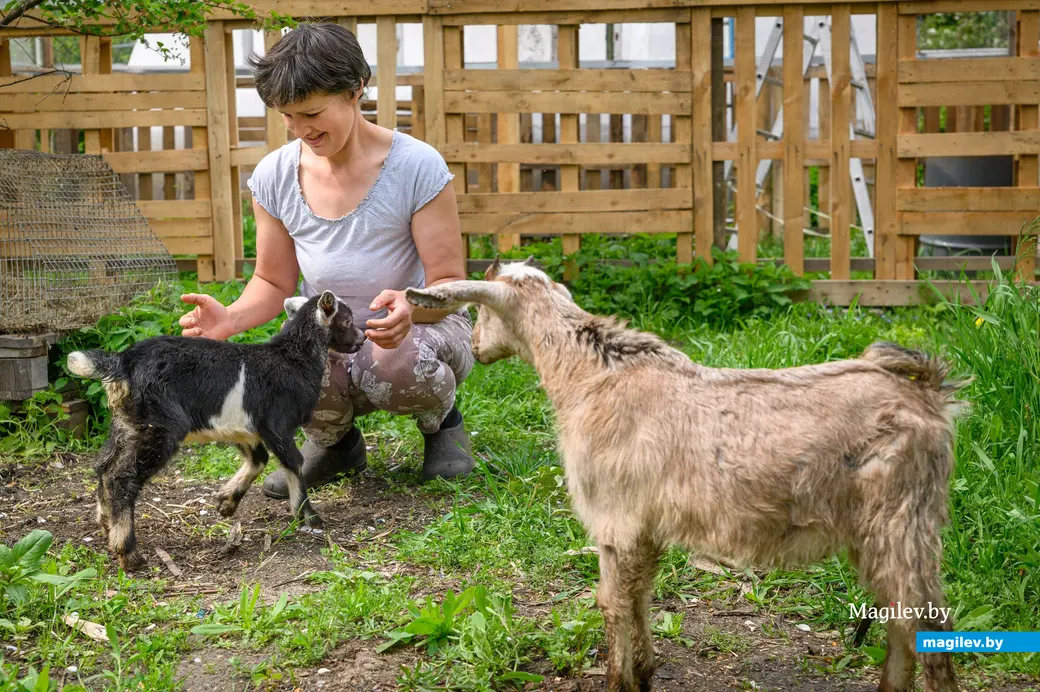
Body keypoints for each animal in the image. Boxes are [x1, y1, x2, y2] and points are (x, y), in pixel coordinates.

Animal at [403, 259, 965, 690]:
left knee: (927, 628)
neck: (590, 375)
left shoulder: (615, 520)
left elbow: (612, 605)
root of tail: (927, 392)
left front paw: (620, 680)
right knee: (901, 624)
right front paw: (645, 672)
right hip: (879, 532)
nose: (477, 347)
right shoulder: (644, 530)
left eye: (479, 309)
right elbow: (640, 598)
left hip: (903, 522)